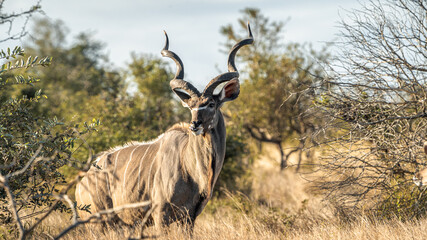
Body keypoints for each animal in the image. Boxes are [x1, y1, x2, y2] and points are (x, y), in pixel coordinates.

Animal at [76, 24, 254, 229]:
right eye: (191, 106)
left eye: (211, 104)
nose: (195, 125)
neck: (192, 169)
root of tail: (81, 182)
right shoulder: (160, 214)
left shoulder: (189, 219)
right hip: (99, 222)